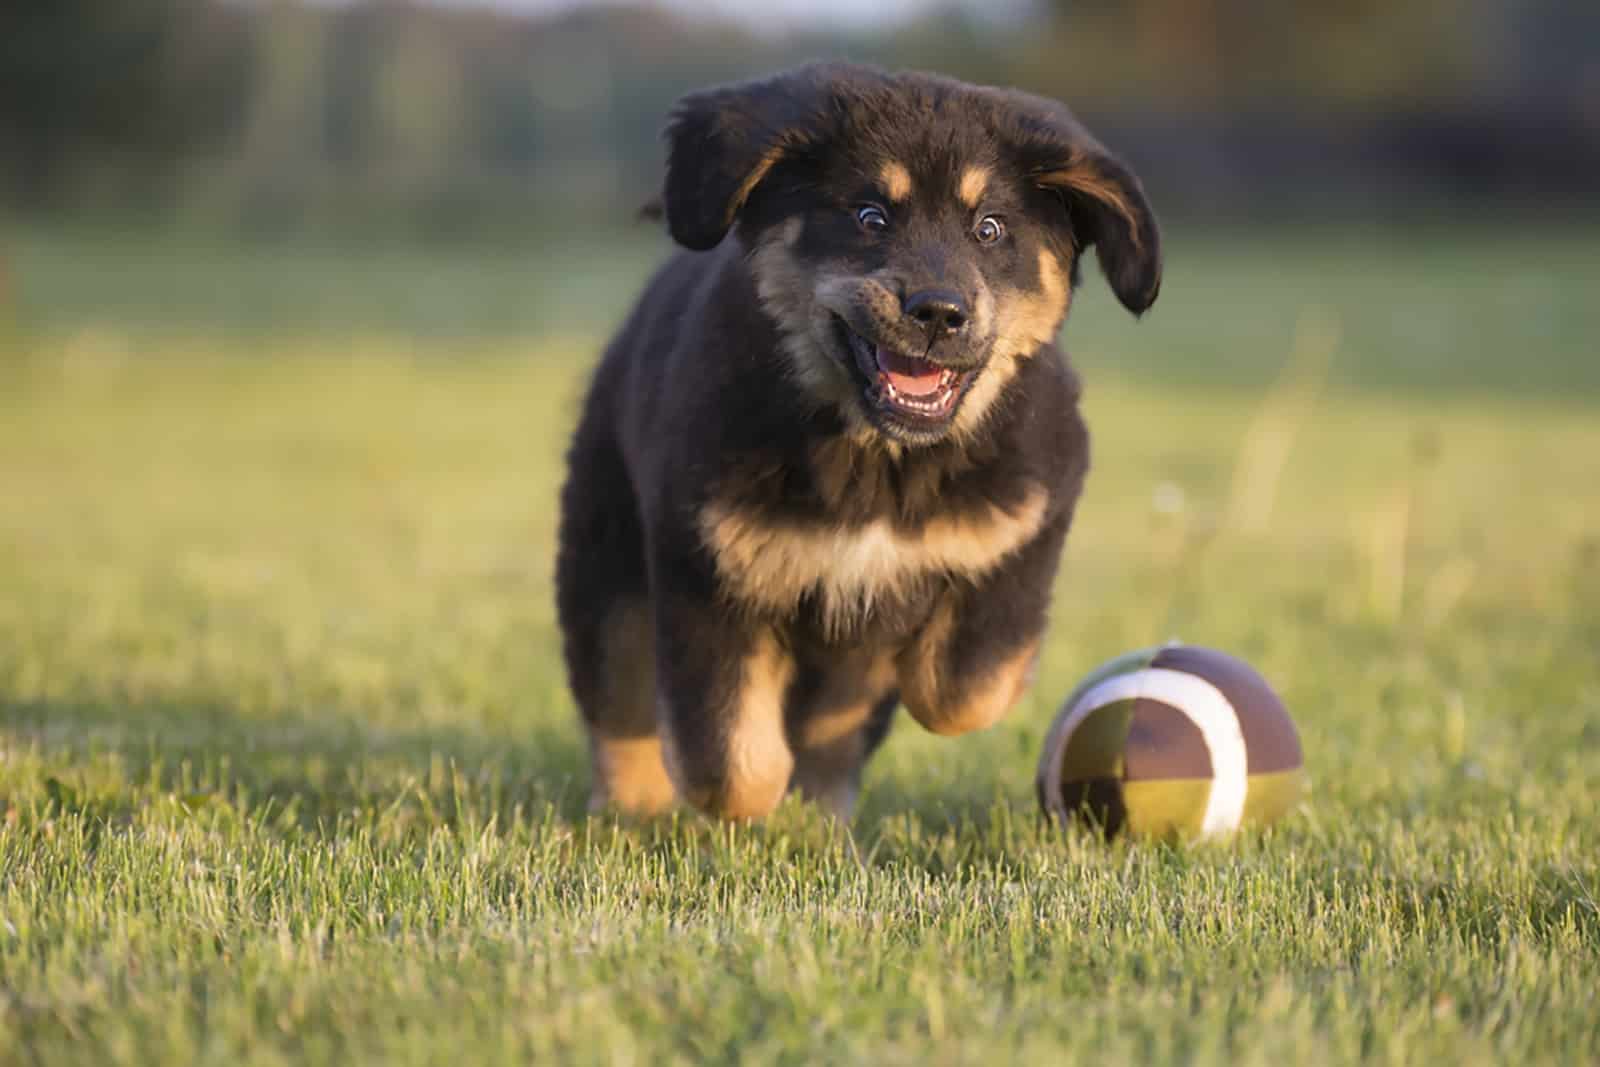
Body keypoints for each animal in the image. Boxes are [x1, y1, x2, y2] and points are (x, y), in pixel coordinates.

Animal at [556, 62, 1158, 825]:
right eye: (871, 217)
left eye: (990, 229)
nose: (939, 312)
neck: (879, 458)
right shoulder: (707, 567)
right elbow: (728, 755)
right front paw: (752, 795)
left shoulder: (1031, 515)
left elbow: (963, 686)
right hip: (604, 561)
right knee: (619, 699)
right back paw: (634, 810)